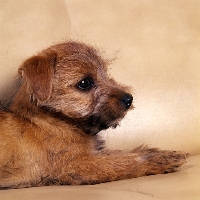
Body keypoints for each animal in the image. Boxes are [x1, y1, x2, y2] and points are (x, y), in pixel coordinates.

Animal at [0, 41, 187, 188]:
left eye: (106, 74)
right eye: (85, 83)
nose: (129, 98)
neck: (55, 120)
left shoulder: (93, 154)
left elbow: (121, 153)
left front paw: (158, 152)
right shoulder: (78, 165)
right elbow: (121, 163)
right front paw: (160, 160)